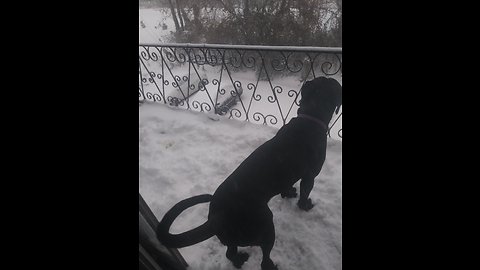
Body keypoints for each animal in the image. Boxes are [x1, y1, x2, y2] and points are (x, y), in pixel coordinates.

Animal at [157, 76, 342, 270]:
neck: (310, 117)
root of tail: (215, 218)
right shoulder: (310, 176)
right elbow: (305, 192)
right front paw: (305, 205)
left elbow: (286, 186)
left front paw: (289, 193)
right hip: (265, 225)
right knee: (264, 258)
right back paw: (270, 265)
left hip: (234, 237)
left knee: (230, 253)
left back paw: (239, 260)